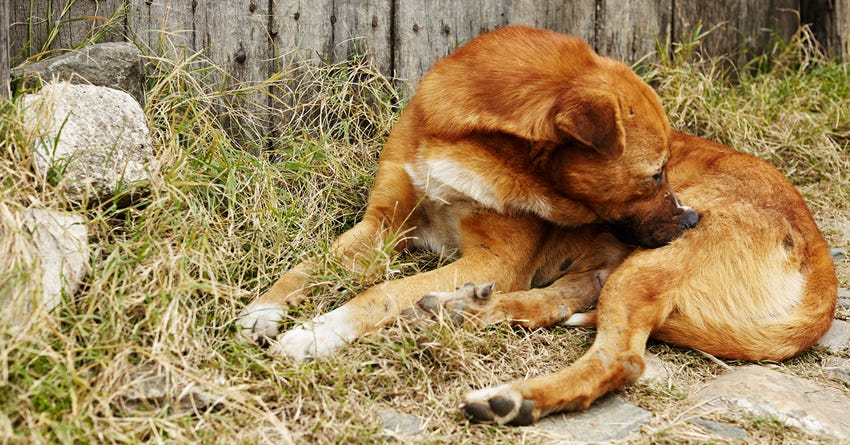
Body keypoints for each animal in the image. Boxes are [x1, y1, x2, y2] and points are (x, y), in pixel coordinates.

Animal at [234, 25, 836, 424]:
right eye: (654, 174)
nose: (691, 218)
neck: (474, 143)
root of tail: (820, 257)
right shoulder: (381, 227)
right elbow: (307, 268)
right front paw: (263, 312)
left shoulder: (495, 259)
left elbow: (379, 292)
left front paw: (316, 333)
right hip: (621, 267)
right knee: (566, 299)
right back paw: (461, 310)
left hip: (646, 266)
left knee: (620, 358)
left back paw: (512, 395)